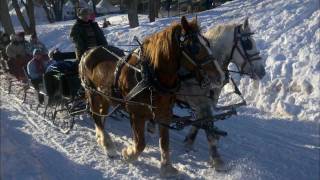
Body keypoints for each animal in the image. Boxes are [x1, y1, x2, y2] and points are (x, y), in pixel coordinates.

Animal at [79, 16, 216, 176]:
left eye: (207, 43)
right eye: (195, 48)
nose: (217, 75)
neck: (150, 76)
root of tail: (88, 51)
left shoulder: (164, 113)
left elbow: (164, 142)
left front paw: (166, 167)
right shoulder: (136, 114)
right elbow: (140, 144)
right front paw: (128, 154)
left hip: (105, 97)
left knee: (101, 116)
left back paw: (101, 137)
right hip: (92, 93)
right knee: (95, 116)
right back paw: (108, 145)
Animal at [178, 17, 268, 170]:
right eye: (248, 44)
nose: (262, 71)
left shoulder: (206, 101)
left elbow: (199, 123)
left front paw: (188, 143)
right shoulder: (200, 101)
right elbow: (207, 127)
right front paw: (217, 161)